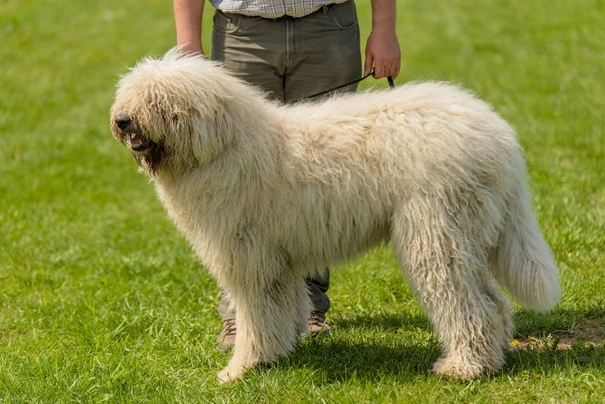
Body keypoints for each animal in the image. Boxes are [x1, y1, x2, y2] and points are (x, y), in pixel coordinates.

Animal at [111, 49, 560, 382]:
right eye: (132, 94)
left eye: (160, 101)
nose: (122, 120)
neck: (224, 146)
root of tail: (499, 137)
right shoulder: (276, 259)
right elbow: (279, 310)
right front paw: (277, 354)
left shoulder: (249, 256)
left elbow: (256, 315)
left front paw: (240, 369)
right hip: (468, 233)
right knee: (493, 302)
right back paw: (492, 358)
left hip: (436, 233)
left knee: (469, 305)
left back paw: (464, 367)